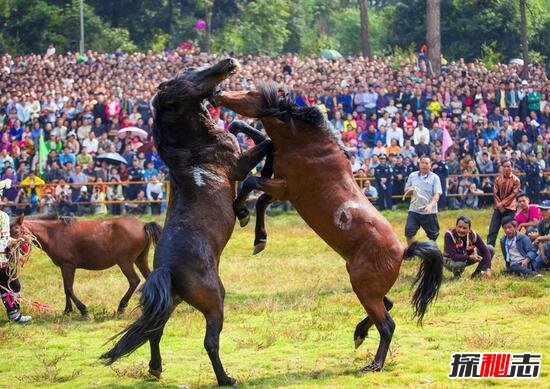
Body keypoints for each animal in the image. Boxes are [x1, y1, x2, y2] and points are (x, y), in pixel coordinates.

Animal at [10, 212, 162, 316]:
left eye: (16, 231)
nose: (8, 249)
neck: (54, 233)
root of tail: (144, 224)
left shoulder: (68, 266)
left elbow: (69, 288)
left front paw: (83, 310)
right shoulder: (63, 267)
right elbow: (66, 288)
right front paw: (67, 310)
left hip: (125, 262)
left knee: (134, 281)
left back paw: (121, 307)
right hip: (140, 260)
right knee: (149, 277)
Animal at [100, 58, 272, 384]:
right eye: (188, 77)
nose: (228, 63)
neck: (194, 149)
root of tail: (166, 269)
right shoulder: (238, 165)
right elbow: (265, 147)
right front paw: (244, 213)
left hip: (173, 302)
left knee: (154, 332)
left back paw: (156, 368)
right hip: (214, 301)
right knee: (210, 341)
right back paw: (226, 378)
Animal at [213, 83, 446, 372]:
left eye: (249, 93)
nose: (217, 93)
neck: (305, 143)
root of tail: (404, 251)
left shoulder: (284, 187)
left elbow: (251, 183)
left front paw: (241, 212)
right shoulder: (280, 187)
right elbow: (262, 196)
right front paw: (259, 239)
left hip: (364, 287)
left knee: (387, 324)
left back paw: (374, 363)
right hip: (367, 287)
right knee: (388, 304)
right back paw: (359, 334)